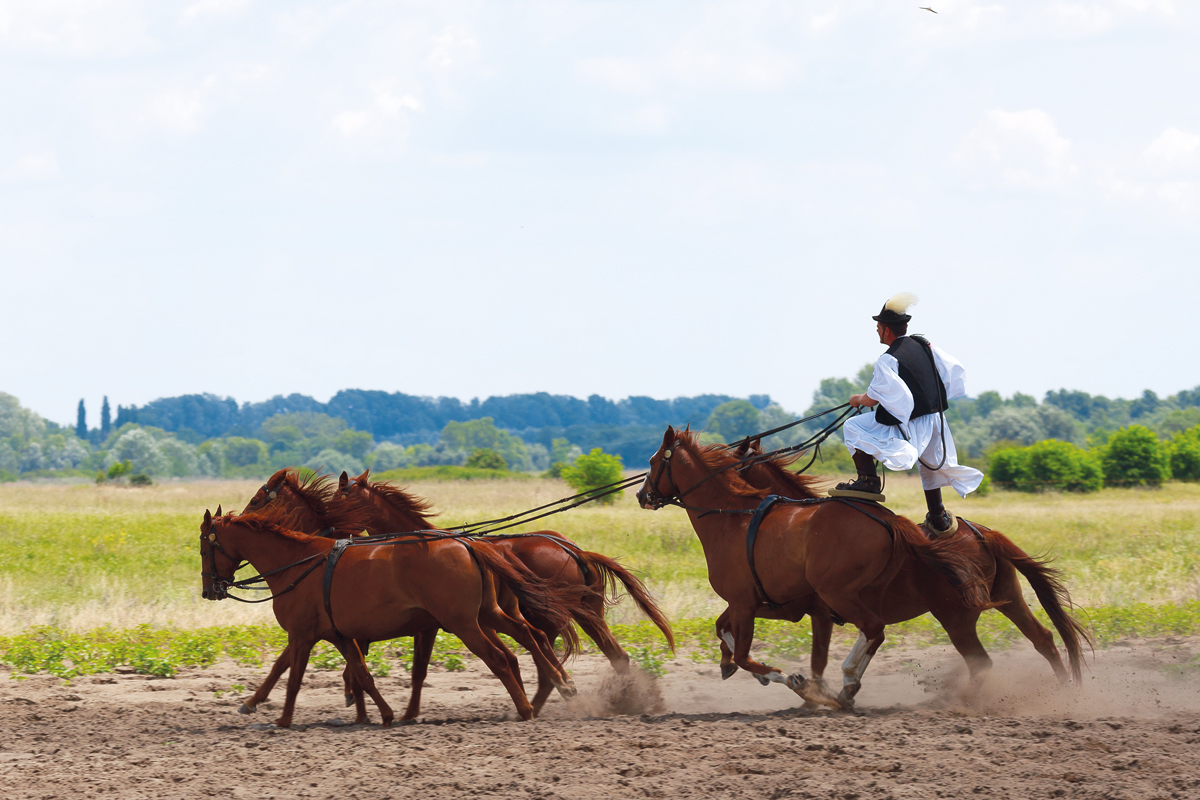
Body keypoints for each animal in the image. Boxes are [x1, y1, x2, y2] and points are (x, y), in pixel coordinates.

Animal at [200, 503, 581, 727]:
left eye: (205, 545)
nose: (209, 590)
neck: (298, 563)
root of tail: (469, 543)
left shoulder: (302, 635)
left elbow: (292, 676)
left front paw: (280, 718)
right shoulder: (340, 635)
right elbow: (361, 675)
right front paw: (382, 714)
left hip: (463, 624)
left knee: (501, 659)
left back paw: (527, 707)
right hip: (488, 614)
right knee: (529, 639)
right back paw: (556, 686)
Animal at [336, 468, 675, 712]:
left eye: (338, 499)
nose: (335, 535)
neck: (416, 543)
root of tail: (575, 551)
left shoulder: (439, 625)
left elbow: (417, 668)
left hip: (553, 619)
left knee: (547, 660)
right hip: (588, 614)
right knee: (611, 656)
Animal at [636, 426, 1022, 709]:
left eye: (654, 461)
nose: (642, 495)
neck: (734, 517)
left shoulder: (756, 605)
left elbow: (751, 653)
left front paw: (792, 682)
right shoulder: (767, 605)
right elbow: (724, 631)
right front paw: (731, 663)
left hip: (897, 605)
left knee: (879, 629)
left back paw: (851, 683)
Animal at [726, 437, 1089, 697]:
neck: (802, 525)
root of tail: (983, 533)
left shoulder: (809, 609)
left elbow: (821, 656)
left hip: (956, 617)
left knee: (982, 661)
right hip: (1009, 596)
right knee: (1043, 639)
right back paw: (1063, 692)